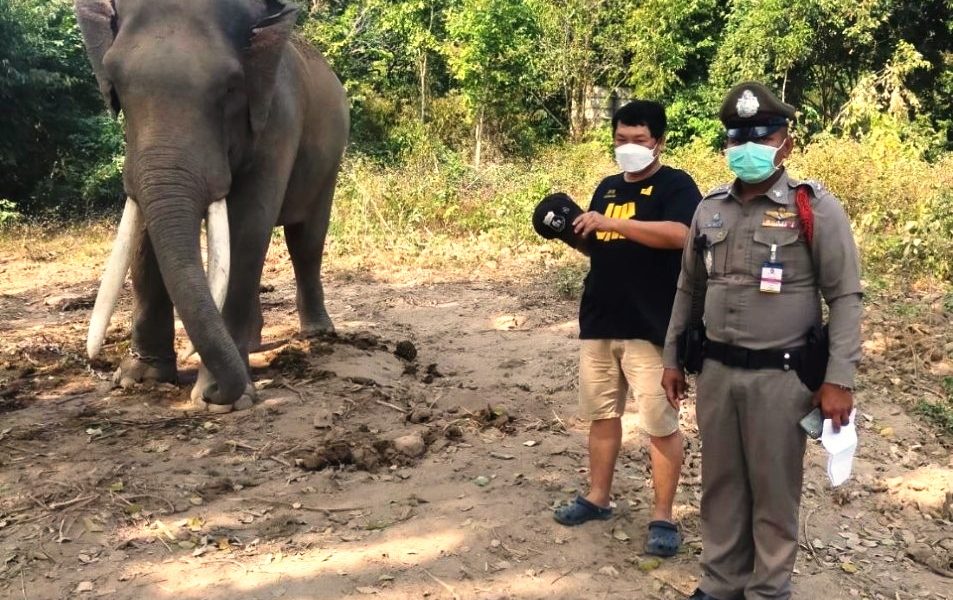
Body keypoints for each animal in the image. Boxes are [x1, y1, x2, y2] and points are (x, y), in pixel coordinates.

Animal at [75, 0, 350, 412]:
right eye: (116, 82)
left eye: (231, 86)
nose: (217, 391)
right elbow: (143, 231)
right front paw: (138, 379)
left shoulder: (278, 120)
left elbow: (247, 226)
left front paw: (220, 400)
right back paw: (252, 345)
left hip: (330, 161)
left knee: (305, 241)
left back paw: (317, 334)